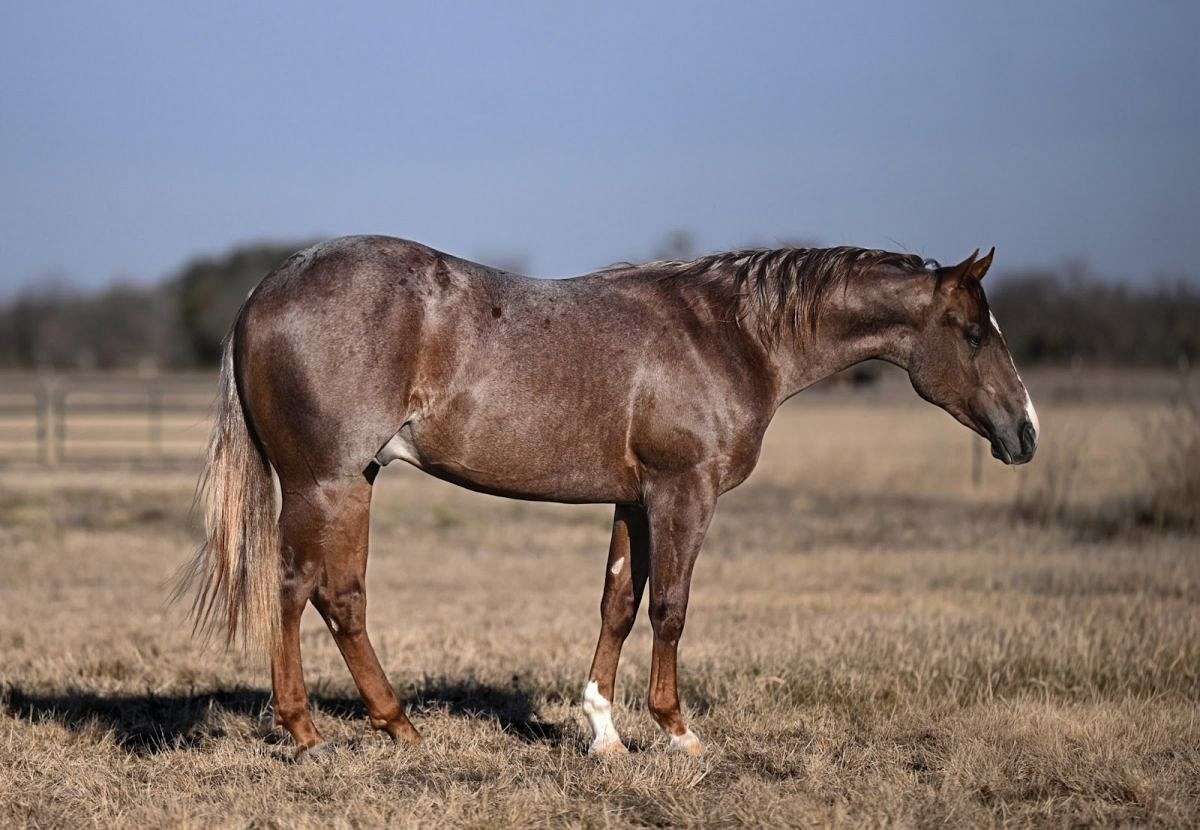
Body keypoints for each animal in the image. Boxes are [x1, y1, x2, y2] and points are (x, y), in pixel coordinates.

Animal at [178, 236, 1038, 759]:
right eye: (972, 332)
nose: (1024, 433)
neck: (731, 335)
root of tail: (264, 293)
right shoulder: (683, 492)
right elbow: (671, 609)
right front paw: (678, 731)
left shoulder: (634, 500)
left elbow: (618, 605)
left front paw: (603, 730)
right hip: (324, 483)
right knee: (305, 591)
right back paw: (312, 731)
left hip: (353, 481)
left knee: (336, 598)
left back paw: (395, 726)